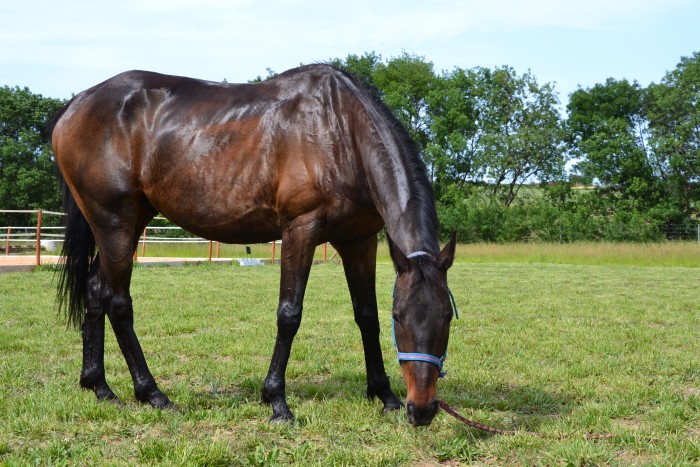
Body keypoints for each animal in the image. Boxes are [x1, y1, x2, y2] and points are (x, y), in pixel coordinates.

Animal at [52, 65, 456, 428]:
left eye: (447, 317)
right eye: (400, 318)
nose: (421, 410)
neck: (340, 131)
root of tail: (76, 104)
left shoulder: (358, 240)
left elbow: (366, 315)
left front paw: (383, 395)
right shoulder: (300, 230)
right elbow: (289, 314)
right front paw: (277, 401)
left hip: (127, 223)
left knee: (95, 290)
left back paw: (100, 387)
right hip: (115, 223)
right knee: (119, 303)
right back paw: (153, 394)